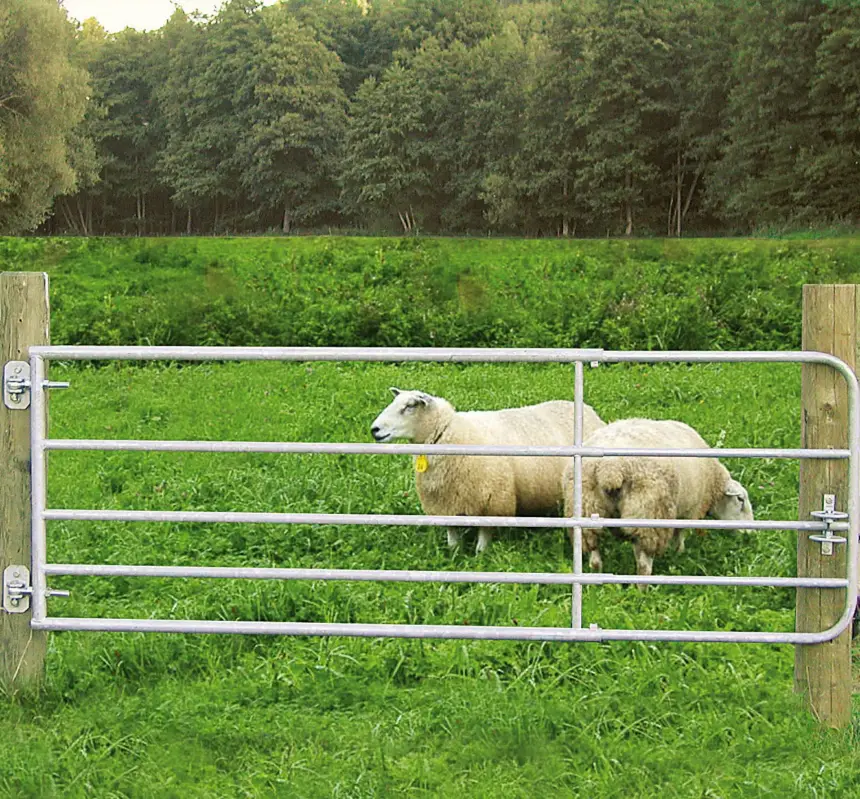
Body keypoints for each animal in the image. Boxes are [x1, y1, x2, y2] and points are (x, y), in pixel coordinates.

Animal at [371, 388, 606, 553]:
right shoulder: (446, 501)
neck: (449, 433)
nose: (374, 430)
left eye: (409, 406)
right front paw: (453, 554)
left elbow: (483, 540)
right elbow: (452, 537)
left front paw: (480, 557)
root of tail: (589, 410)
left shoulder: (492, 500)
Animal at [562, 418, 753, 581]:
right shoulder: (688, 511)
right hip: (648, 514)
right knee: (644, 566)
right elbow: (679, 535)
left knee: (594, 555)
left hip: (588, 507)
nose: (750, 534)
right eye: (740, 499)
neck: (713, 481)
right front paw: (679, 553)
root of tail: (610, 468)